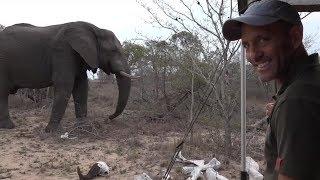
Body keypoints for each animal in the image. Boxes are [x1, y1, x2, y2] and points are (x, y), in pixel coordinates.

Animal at [0, 21, 133, 132]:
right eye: (113, 50)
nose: (108, 117)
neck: (96, 29)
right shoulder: (63, 51)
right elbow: (65, 85)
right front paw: (51, 131)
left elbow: (81, 86)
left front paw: (83, 128)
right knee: (2, 93)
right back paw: (9, 127)